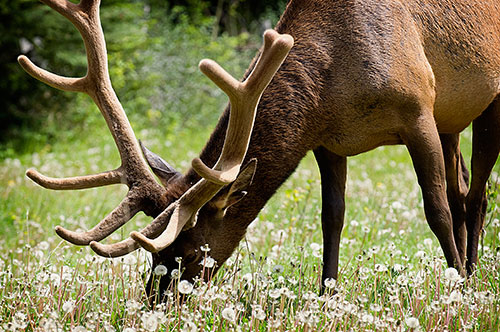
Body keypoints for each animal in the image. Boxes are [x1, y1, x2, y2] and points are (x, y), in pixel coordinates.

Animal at [19, 0, 500, 298]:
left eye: (191, 252)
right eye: (152, 254)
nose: (157, 302)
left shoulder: (418, 109)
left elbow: (435, 210)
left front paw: (456, 288)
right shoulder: (329, 141)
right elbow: (332, 218)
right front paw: (326, 295)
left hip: (484, 105)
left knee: (473, 197)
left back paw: (471, 275)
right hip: (451, 122)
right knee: (461, 187)